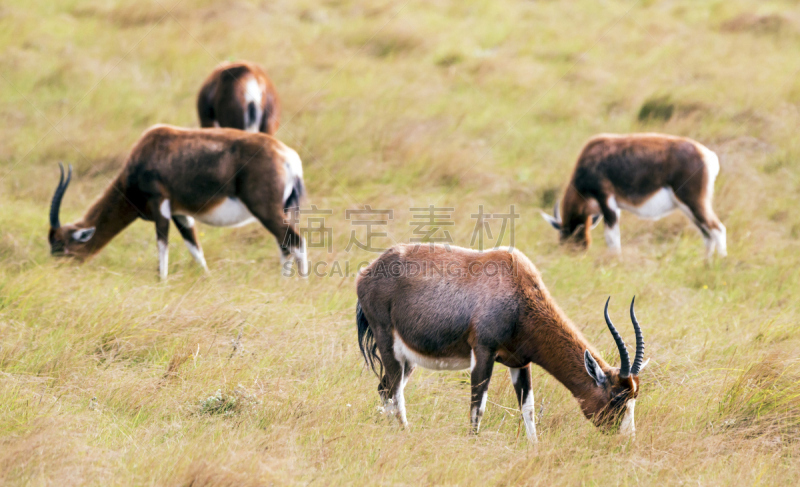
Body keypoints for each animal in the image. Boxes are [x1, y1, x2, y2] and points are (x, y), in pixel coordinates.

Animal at [47, 124, 306, 280]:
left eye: (61, 246)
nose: (56, 272)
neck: (149, 149)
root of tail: (288, 158)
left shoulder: (160, 204)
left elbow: (162, 243)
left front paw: (161, 281)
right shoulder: (181, 214)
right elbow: (195, 249)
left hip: (266, 210)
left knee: (295, 241)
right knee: (285, 245)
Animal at [356, 244, 648, 442]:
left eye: (634, 396)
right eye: (616, 398)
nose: (626, 440)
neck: (516, 285)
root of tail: (367, 272)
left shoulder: (520, 363)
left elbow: (528, 409)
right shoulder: (483, 353)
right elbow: (478, 407)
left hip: (408, 359)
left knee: (385, 389)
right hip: (389, 347)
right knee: (394, 392)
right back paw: (405, 433)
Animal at [544, 132, 724, 258]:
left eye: (564, 236)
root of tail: (707, 155)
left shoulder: (606, 201)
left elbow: (612, 238)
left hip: (693, 203)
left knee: (717, 229)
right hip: (689, 209)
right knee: (707, 235)